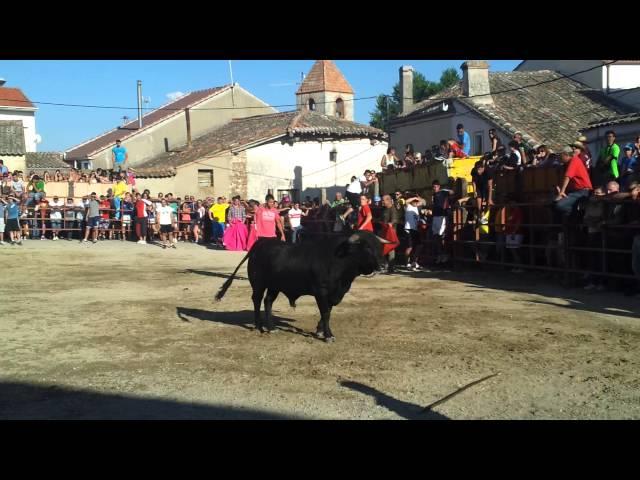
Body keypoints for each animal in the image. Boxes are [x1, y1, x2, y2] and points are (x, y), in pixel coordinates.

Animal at [215, 232, 392, 342]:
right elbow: (326, 312)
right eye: (367, 247)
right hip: (258, 284)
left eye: (380, 246)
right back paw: (259, 325)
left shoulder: (334, 294)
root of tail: (261, 242)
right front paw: (328, 335)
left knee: (268, 301)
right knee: (257, 300)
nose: (384, 265)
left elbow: (328, 311)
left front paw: (320, 330)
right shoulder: (321, 291)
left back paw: (271, 327)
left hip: (275, 286)